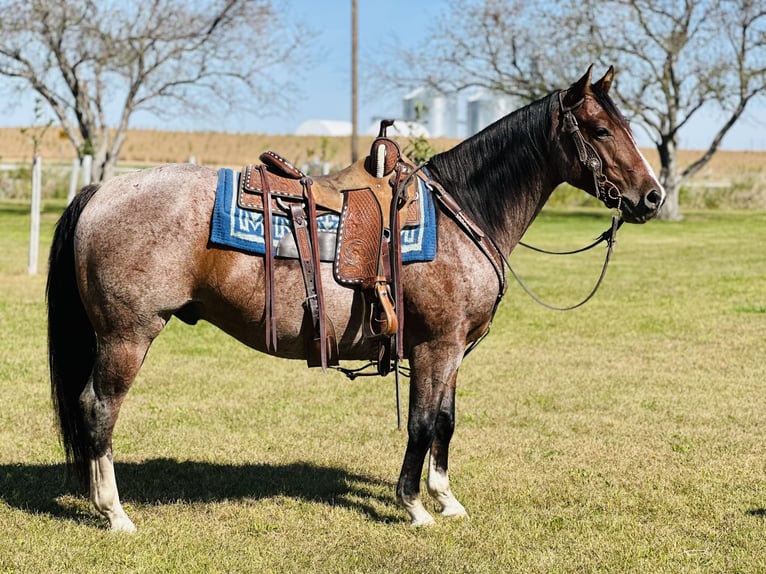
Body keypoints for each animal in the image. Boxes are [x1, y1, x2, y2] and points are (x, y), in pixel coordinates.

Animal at [46, 65, 664, 532]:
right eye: (600, 130)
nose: (652, 197)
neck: (462, 214)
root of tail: (102, 189)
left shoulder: (453, 350)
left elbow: (446, 422)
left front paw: (446, 499)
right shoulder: (436, 348)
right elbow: (421, 424)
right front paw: (414, 507)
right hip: (127, 335)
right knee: (98, 409)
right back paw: (115, 513)